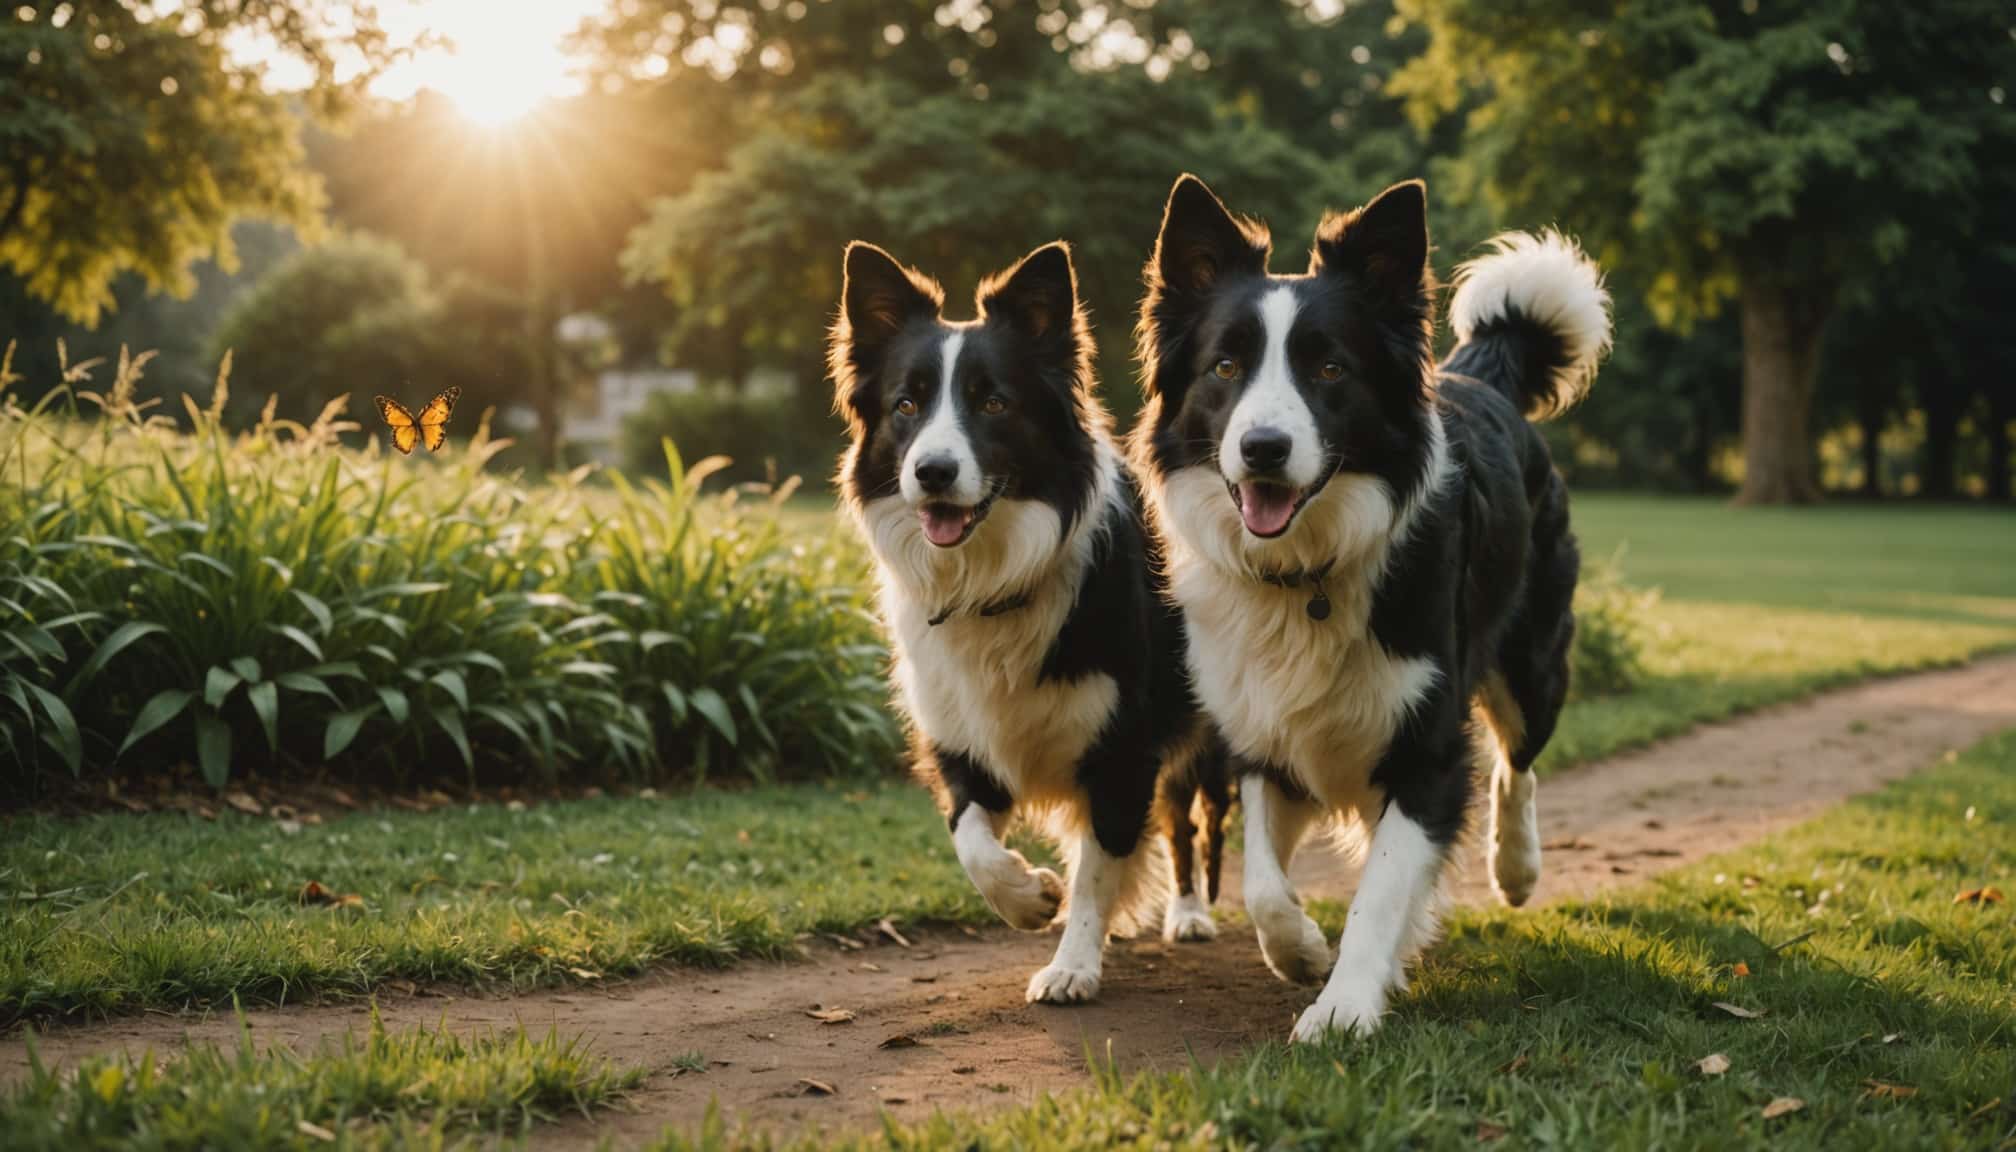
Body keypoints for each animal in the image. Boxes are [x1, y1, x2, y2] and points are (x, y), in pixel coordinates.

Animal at [830, 241, 1225, 1000]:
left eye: (994, 402)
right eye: (905, 405)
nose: (932, 471)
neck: (991, 577)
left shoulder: (1123, 744)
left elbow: (1100, 864)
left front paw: (1073, 962)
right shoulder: (961, 735)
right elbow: (970, 837)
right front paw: (1027, 896)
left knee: (1190, 822)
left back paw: (1189, 913)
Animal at [1128, 175, 1612, 1041]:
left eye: (1329, 368)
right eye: (1225, 366)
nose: (1262, 450)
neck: (1305, 575)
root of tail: (1478, 376)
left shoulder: (1427, 747)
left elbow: (1383, 888)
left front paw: (1344, 1004)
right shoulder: (1263, 734)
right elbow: (1261, 884)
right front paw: (1300, 953)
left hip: (1533, 656)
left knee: (1517, 762)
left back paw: (1516, 868)